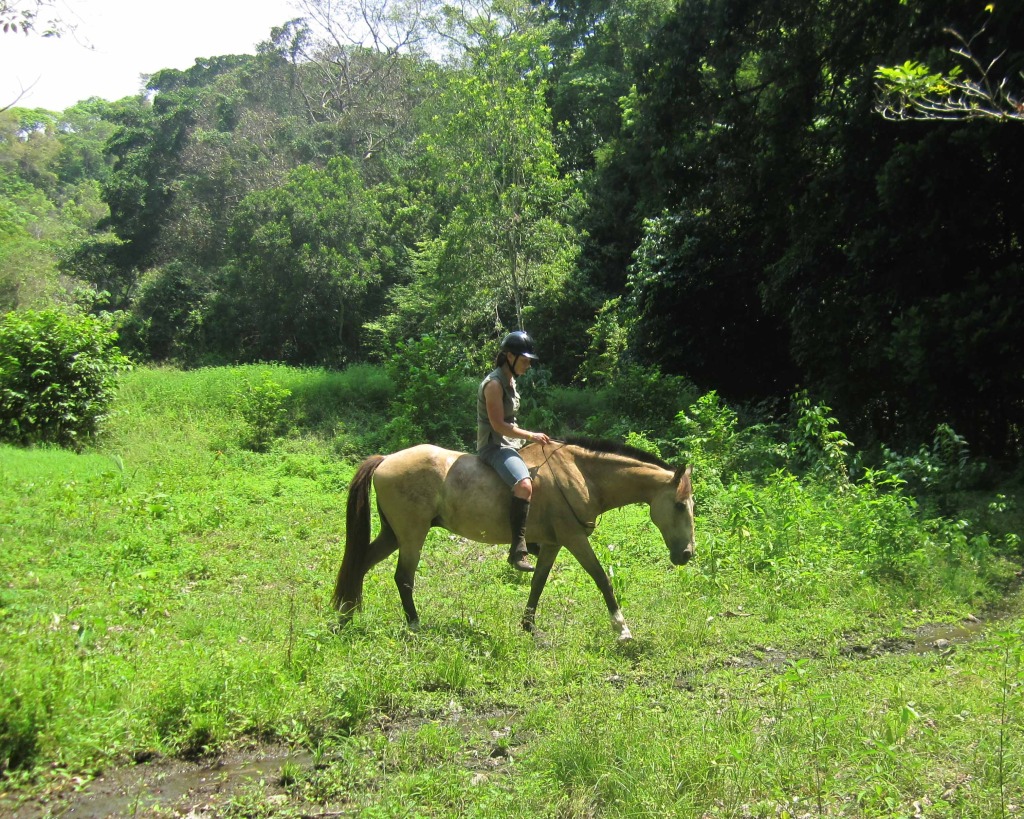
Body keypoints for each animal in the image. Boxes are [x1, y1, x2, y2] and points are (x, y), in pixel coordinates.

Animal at [329, 434, 696, 638]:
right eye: (680, 505)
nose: (687, 554)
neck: (580, 475)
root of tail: (386, 459)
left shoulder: (553, 543)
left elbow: (538, 584)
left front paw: (529, 627)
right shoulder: (574, 539)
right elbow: (601, 578)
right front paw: (622, 629)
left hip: (394, 534)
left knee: (360, 564)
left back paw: (346, 616)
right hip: (411, 535)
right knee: (403, 578)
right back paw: (415, 625)